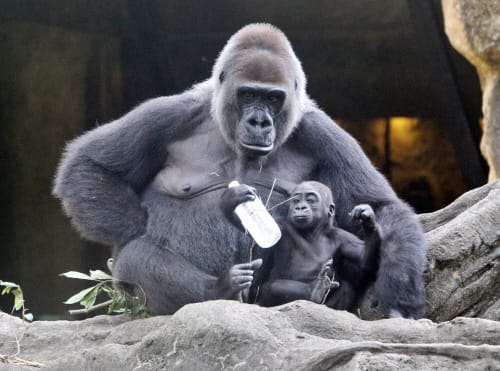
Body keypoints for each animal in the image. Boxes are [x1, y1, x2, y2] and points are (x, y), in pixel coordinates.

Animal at [53, 23, 426, 320]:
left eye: (273, 99)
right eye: (248, 94)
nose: (259, 122)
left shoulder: (323, 132)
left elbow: (380, 206)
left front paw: (397, 291)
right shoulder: (169, 113)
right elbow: (90, 166)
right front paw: (140, 226)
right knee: (136, 258)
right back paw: (218, 290)